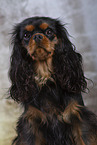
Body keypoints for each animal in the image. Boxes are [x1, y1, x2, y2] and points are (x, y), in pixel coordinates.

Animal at [9, 16, 97, 145]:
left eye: (49, 32)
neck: (46, 77)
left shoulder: (77, 115)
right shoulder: (31, 122)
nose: (37, 36)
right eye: (26, 35)